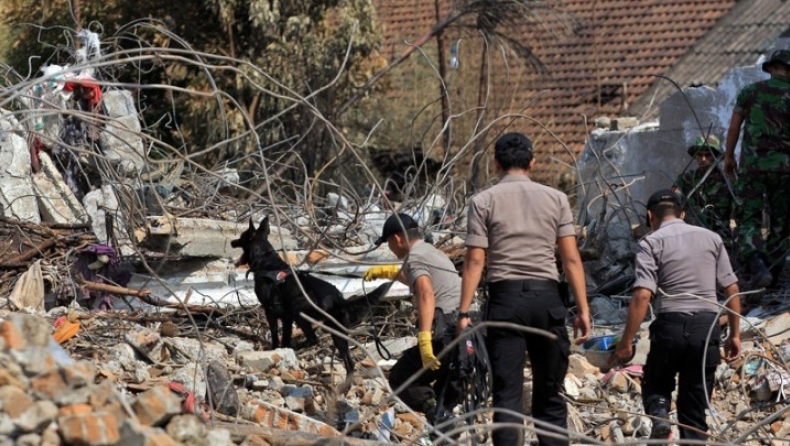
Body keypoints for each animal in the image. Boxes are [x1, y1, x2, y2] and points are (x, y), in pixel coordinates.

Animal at [230, 216, 394, 372]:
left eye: (241, 236)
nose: (232, 242)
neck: (265, 259)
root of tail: (339, 299)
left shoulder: (271, 311)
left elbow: (276, 335)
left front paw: (276, 349)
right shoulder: (286, 317)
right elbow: (285, 337)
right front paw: (283, 350)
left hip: (299, 310)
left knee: (313, 339)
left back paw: (297, 346)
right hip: (336, 331)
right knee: (349, 363)